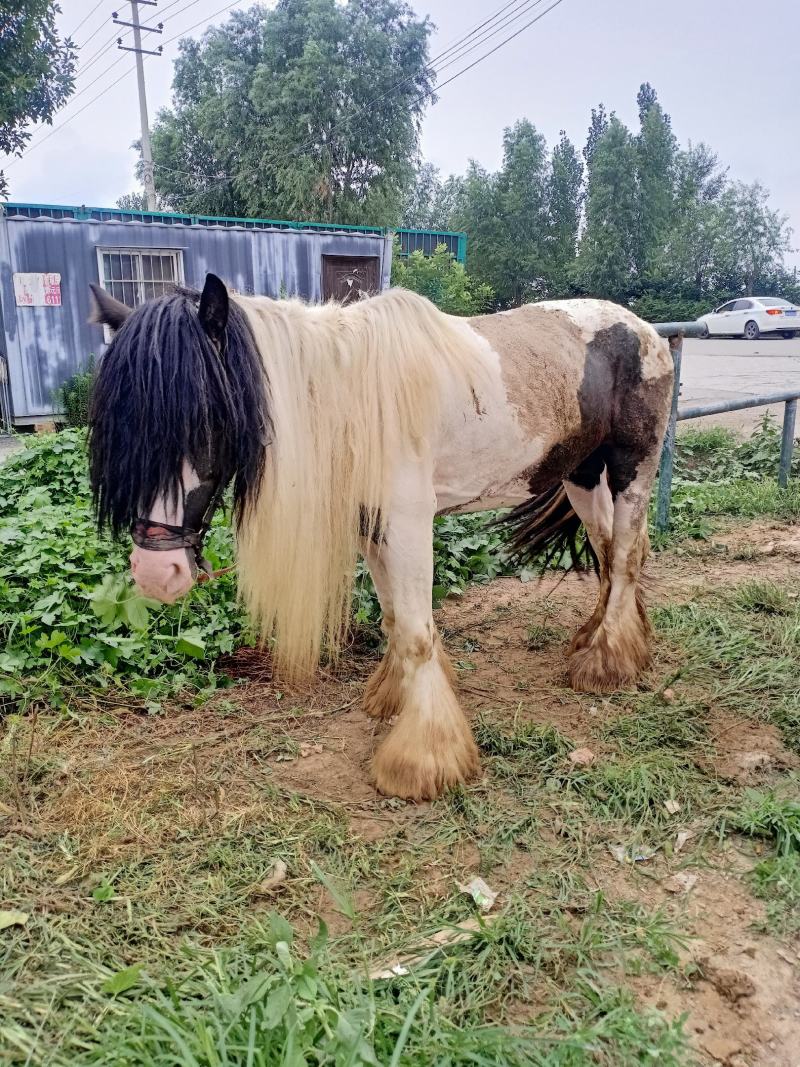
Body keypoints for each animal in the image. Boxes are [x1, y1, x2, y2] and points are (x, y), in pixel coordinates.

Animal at [88, 273, 674, 802]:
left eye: (207, 419)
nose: (155, 573)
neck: (348, 397)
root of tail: (645, 330)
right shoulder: (371, 526)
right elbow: (394, 619)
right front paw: (392, 696)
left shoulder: (408, 523)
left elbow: (416, 632)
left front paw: (423, 759)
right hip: (582, 474)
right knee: (609, 552)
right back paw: (596, 642)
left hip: (631, 470)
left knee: (625, 557)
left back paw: (607, 663)